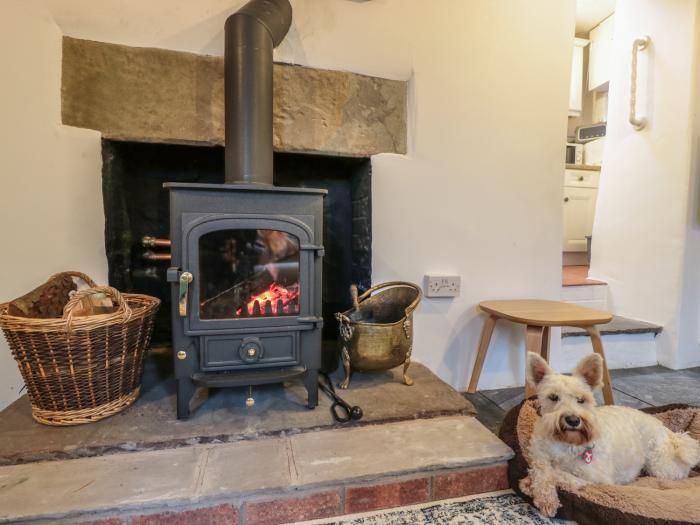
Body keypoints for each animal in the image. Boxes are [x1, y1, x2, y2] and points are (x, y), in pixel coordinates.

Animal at [520, 352, 700, 516]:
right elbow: (541, 468)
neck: (565, 441)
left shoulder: (597, 480)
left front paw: (534, 485)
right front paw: (539, 491)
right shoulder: (537, 455)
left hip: (661, 467)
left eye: (581, 399)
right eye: (553, 397)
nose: (573, 420)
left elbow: (558, 473)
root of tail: (668, 431)